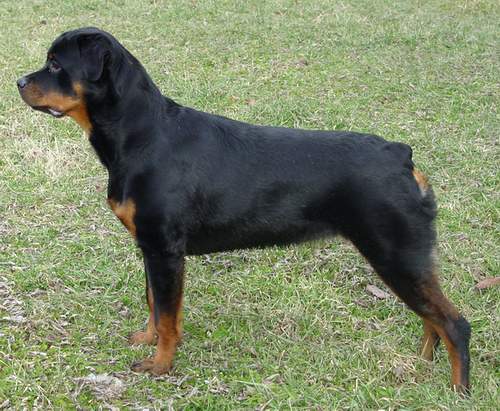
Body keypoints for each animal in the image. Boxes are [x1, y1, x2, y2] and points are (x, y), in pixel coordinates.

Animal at [18, 27, 470, 393]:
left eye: (56, 63)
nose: (20, 81)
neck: (141, 134)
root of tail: (401, 156)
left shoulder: (165, 250)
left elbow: (167, 315)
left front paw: (160, 365)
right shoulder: (150, 248)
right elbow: (152, 303)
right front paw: (146, 340)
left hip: (395, 254)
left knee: (453, 322)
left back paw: (457, 390)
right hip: (406, 259)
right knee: (432, 317)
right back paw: (422, 363)